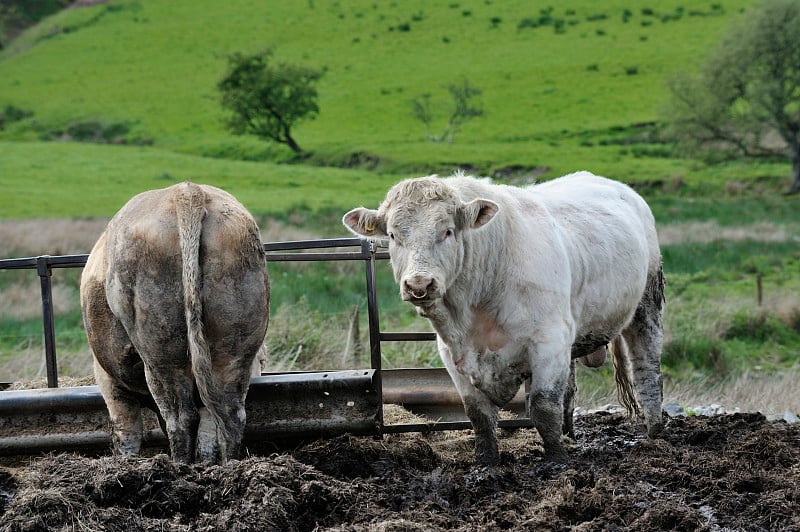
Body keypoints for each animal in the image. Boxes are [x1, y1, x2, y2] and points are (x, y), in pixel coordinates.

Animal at [344, 171, 664, 466]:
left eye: (448, 231)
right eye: (393, 236)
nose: (419, 284)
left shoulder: (549, 342)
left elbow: (543, 408)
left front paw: (558, 461)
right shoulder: (452, 354)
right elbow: (479, 415)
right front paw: (486, 463)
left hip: (647, 303)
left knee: (647, 369)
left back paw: (655, 434)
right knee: (572, 389)